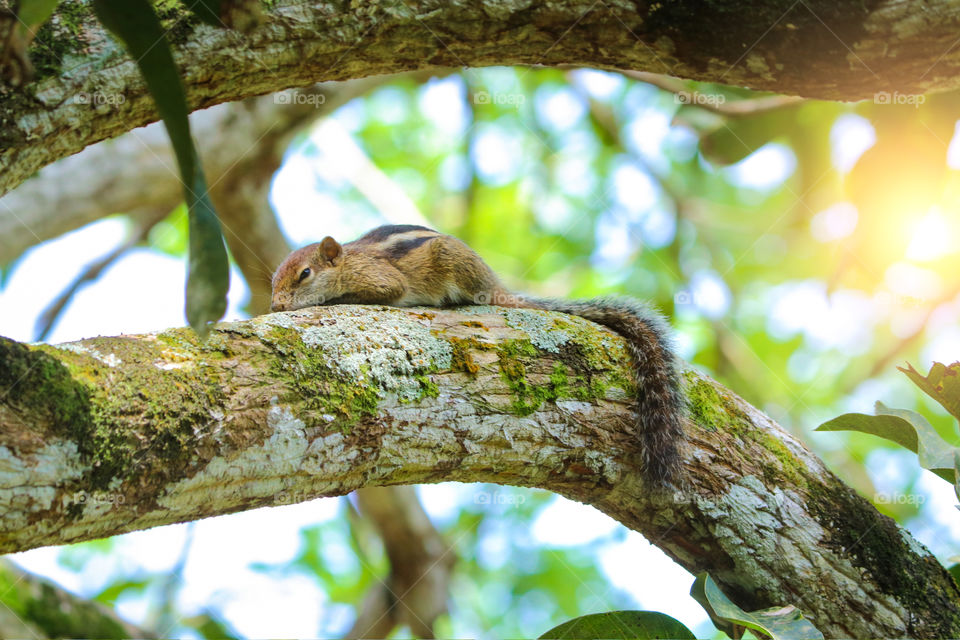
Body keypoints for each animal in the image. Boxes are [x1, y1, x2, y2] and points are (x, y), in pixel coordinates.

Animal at [274, 226, 688, 484]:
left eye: (305, 274)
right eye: (275, 278)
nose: (276, 304)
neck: (348, 263)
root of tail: (497, 285)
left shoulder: (381, 281)